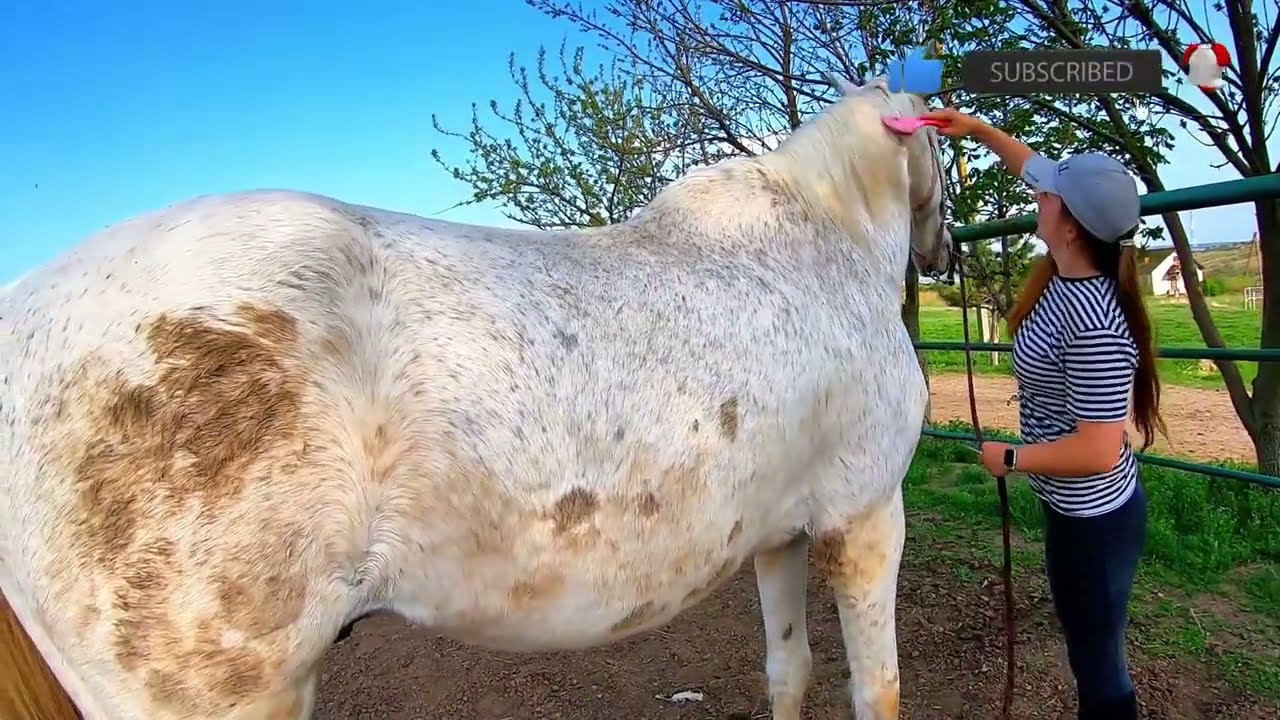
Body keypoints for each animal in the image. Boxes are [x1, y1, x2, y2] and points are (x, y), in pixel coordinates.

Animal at [0, 75, 952, 719]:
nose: (942, 248)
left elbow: (789, 670)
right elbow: (879, 689)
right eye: (940, 148)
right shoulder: (866, 516)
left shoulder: (780, 534)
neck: (821, 243)